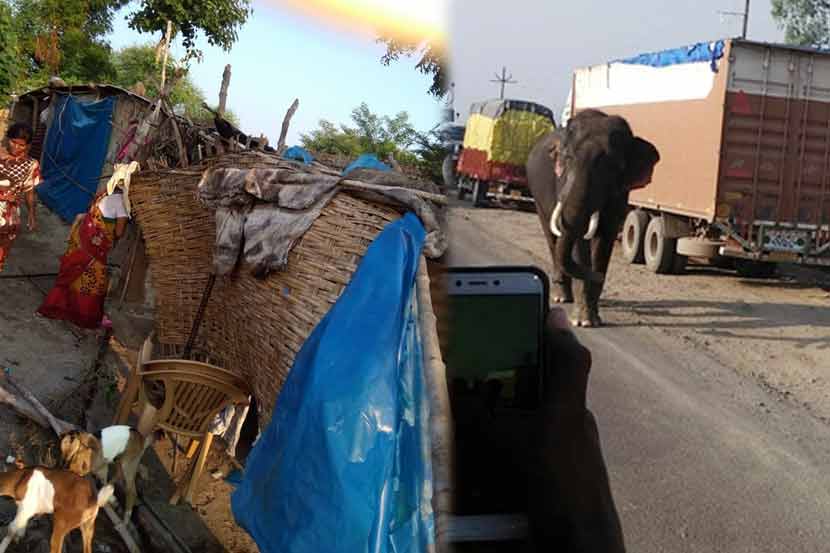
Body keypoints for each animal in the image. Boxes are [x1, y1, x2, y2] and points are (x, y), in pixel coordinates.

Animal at [526, 110, 659, 327]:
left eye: (613, 167)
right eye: (568, 158)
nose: (596, 276)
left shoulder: (620, 193)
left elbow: (605, 238)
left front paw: (591, 318)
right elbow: (579, 239)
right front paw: (582, 321)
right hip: (536, 196)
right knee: (551, 236)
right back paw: (561, 296)